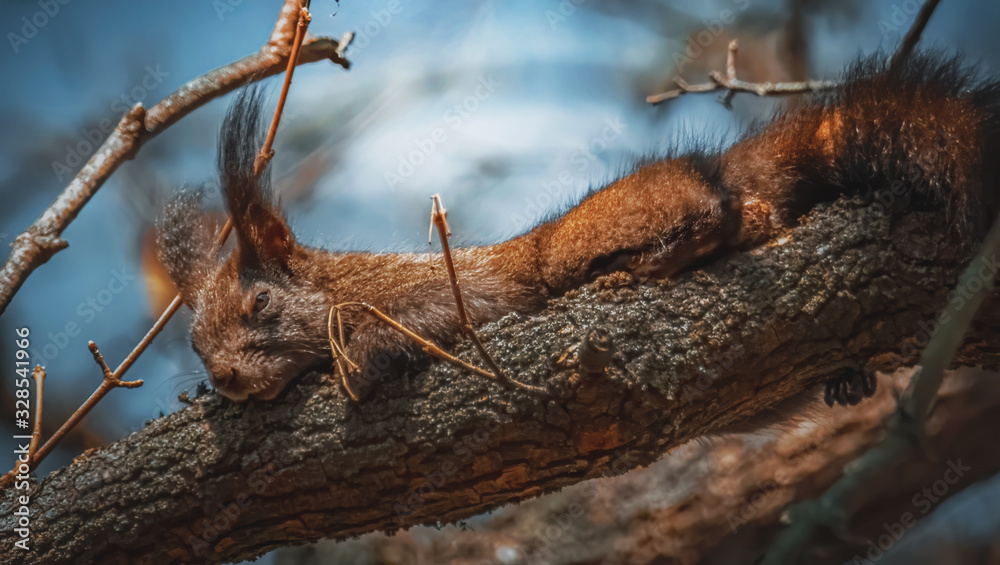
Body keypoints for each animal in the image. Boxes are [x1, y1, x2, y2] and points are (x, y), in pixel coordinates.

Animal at [157, 53, 1000, 405]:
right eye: (194, 344)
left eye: (261, 305)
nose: (224, 378)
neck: (342, 284)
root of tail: (730, 165)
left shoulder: (442, 298)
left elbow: (411, 333)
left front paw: (357, 363)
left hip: (582, 240)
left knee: (731, 213)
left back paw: (663, 256)